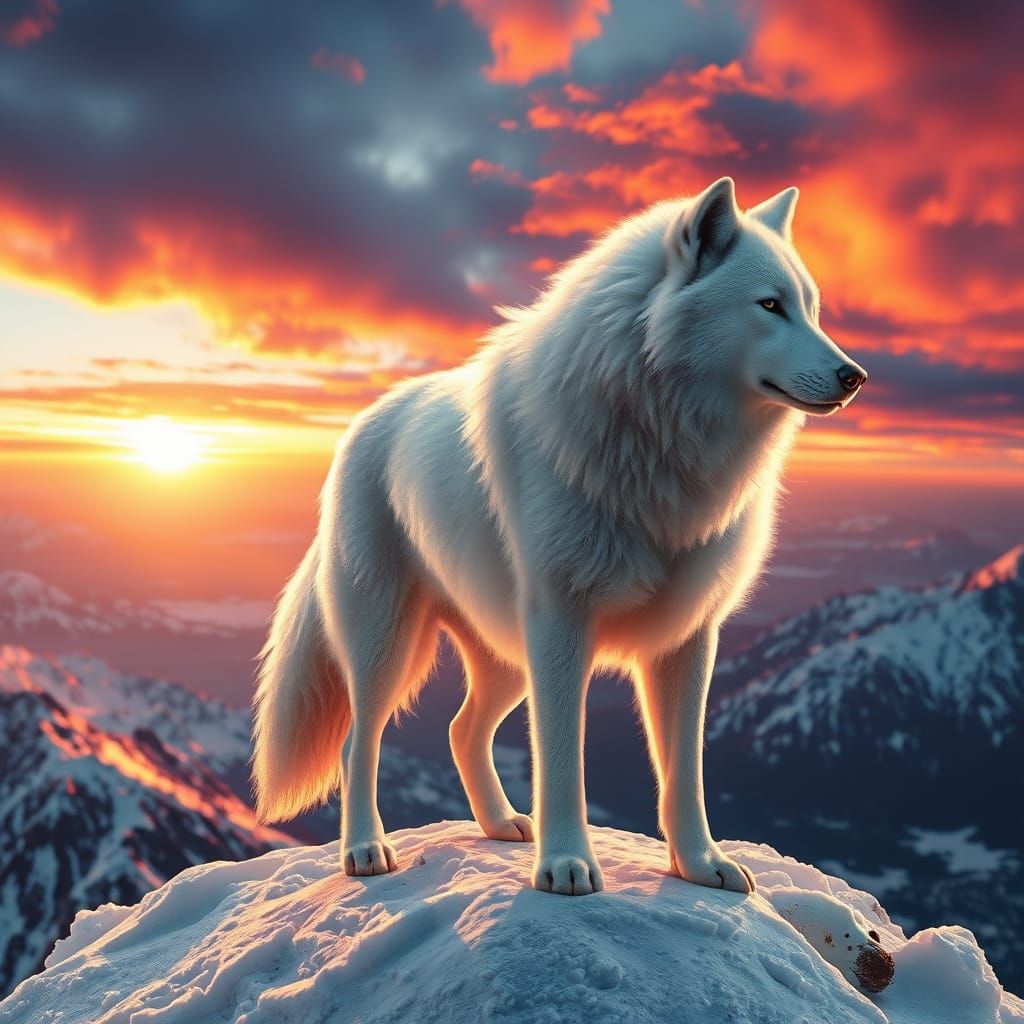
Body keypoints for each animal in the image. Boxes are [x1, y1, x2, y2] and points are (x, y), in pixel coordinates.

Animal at [252, 177, 867, 896]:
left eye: (813, 310)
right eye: (770, 305)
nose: (855, 376)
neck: (658, 441)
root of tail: (365, 421)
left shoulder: (690, 635)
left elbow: (683, 773)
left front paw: (699, 865)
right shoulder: (562, 624)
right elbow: (563, 761)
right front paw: (566, 867)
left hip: (504, 655)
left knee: (461, 730)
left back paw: (499, 825)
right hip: (389, 645)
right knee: (359, 742)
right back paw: (366, 850)